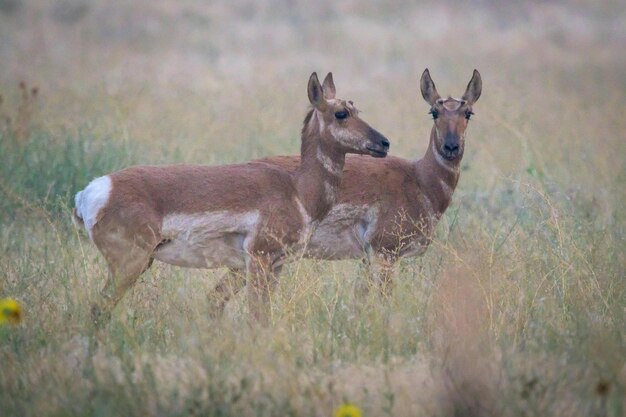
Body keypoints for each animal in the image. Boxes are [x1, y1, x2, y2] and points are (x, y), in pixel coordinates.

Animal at [72, 72, 386, 324]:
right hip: (130, 264)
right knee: (98, 309)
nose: (384, 143)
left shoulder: (275, 266)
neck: (296, 188)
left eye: (356, 108)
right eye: (341, 113)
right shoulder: (258, 260)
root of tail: (95, 189)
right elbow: (257, 317)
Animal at [212, 69, 480, 300]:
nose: (451, 146)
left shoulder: (368, 259)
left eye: (468, 113)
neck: (418, 178)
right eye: (434, 112)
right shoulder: (385, 253)